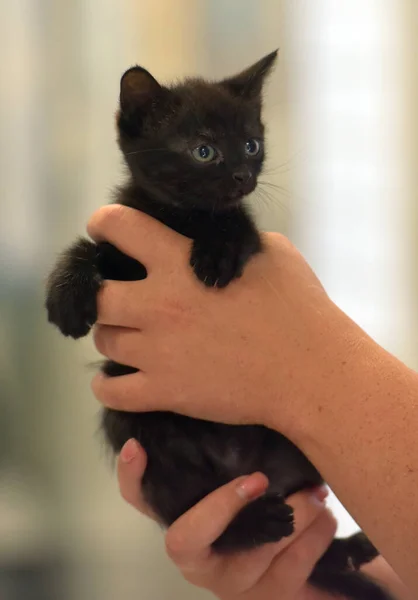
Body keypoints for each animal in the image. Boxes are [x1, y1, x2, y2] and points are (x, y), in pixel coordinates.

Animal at [47, 52, 394, 600]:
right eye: (204, 150)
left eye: (251, 144)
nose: (241, 175)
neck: (180, 218)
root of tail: (241, 469)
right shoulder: (123, 244)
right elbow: (89, 248)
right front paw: (65, 294)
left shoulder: (248, 231)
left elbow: (236, 226)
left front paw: (216, 253)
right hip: (134, 427)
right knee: (191, 514)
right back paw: (260, 526)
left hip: (301, 443)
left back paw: (342, 550)